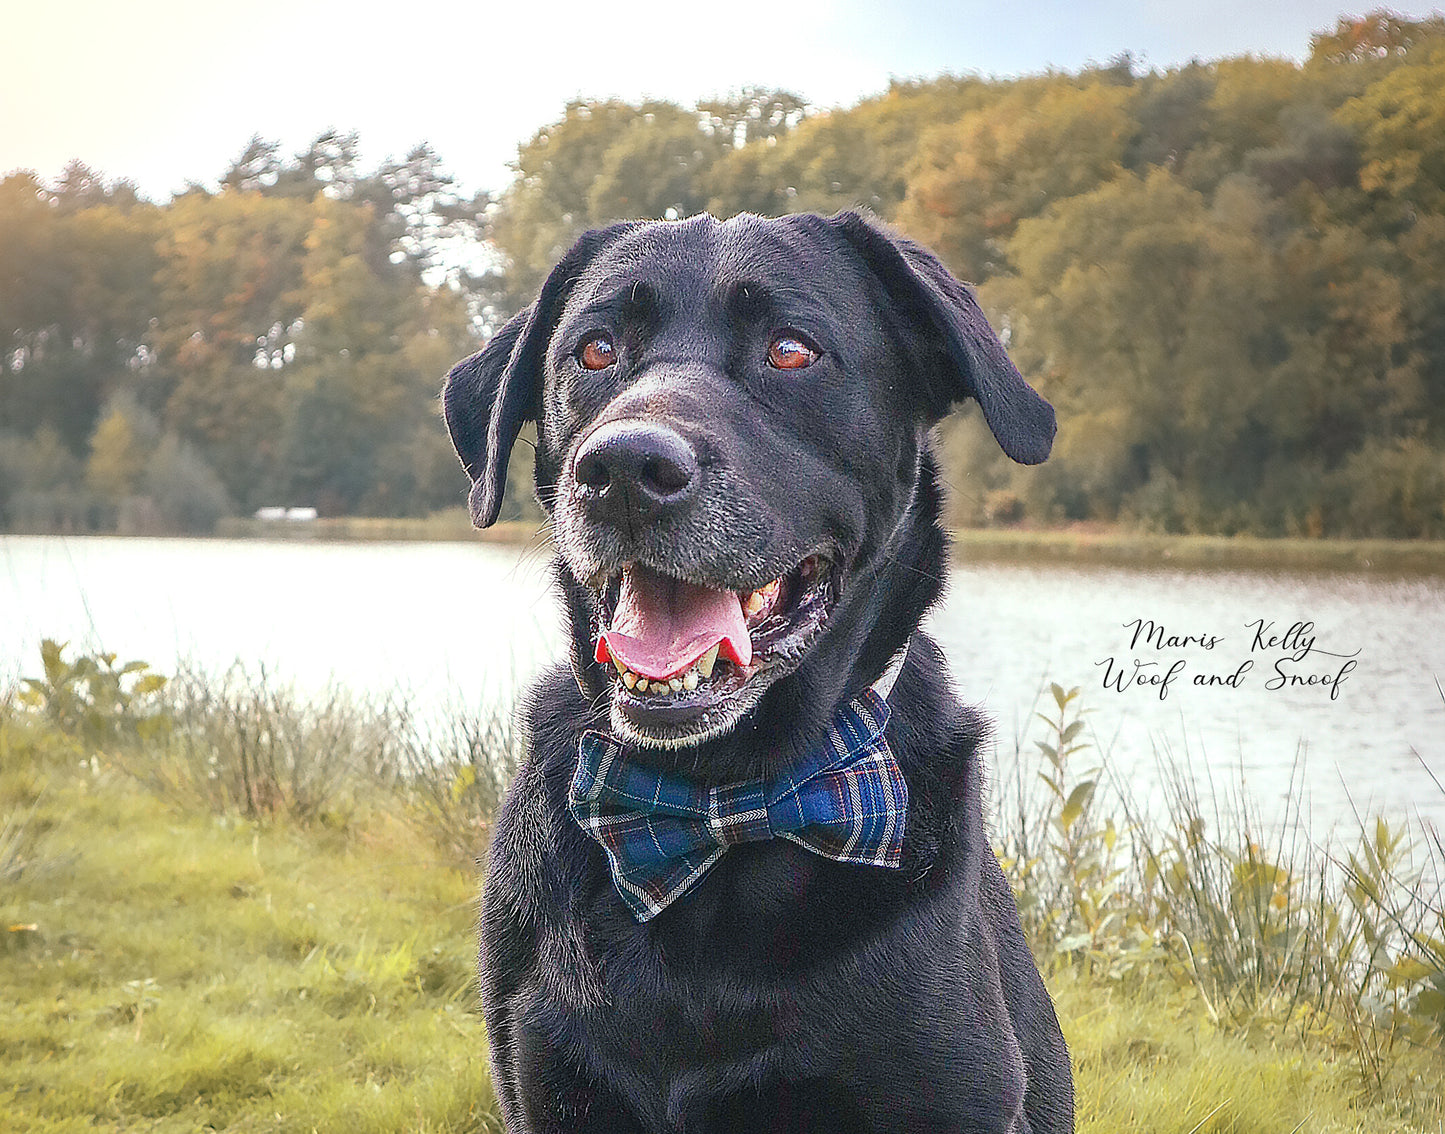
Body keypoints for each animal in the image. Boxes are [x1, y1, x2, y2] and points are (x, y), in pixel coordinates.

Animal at [442, 208, 1075, 1126]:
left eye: (789, 350)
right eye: (594, 351)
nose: (623, 469)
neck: (714, 808)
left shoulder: (947, 1091)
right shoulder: (547, 1080)